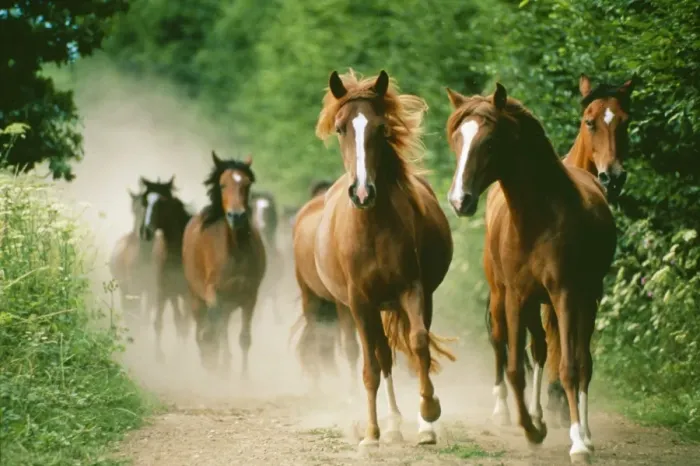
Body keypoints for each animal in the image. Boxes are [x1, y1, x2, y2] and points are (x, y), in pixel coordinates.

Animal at [139, 176, 193, 363]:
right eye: (145, 201)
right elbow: (160, 323)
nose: (146, 231)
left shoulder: (188, 294)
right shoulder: (164, 289)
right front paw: (158, 357)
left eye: (162, 202)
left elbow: (184, 324)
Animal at [182, 151, 266, 377]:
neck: (235, 251)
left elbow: (244, 338)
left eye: (246, 184)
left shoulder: (250, 295)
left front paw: (244, 377)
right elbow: (216, 329)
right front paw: (221, 367)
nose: (236, 216)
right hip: (196, 298)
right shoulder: (213, 293)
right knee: (205, 325)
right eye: (222, 185)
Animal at [312, 69, 456, 446]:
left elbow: (419, 344)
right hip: (366, 308)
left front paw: (429, 414)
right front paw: (372, 434)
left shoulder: (412, 288)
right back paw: (389, 424)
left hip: (413, 299)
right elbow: (372, 367)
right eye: (340, 128)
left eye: (381, 128)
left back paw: (417, 424)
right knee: (382, 355)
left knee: (407, 348)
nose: (362, 193)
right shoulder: (359, 302)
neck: (372, 229)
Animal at [445, 83, 617, 464]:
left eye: (489, 142)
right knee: (535, 349)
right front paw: (531, 429)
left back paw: (585, 434)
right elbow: (514, 367)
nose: (460, 200)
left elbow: (569, 367)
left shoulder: (565, 295)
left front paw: (577, 442)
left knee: (582, 362)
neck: (539, 220)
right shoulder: (515, 295)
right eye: (457, 140)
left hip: (587, 299)